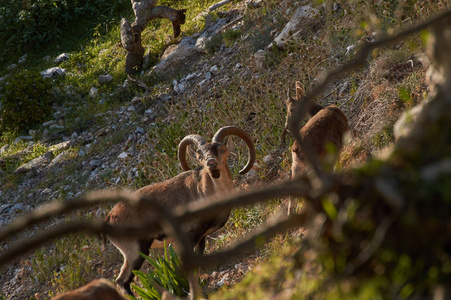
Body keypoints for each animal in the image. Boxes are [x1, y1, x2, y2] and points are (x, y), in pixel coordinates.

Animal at [103, 125, 256, 294]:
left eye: (221, 150)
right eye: (200, 155)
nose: (211, 163)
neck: (206, 192)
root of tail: (109, 218)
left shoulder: (201, 236)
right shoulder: (188, 235)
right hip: (135, 250)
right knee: (122, 281)